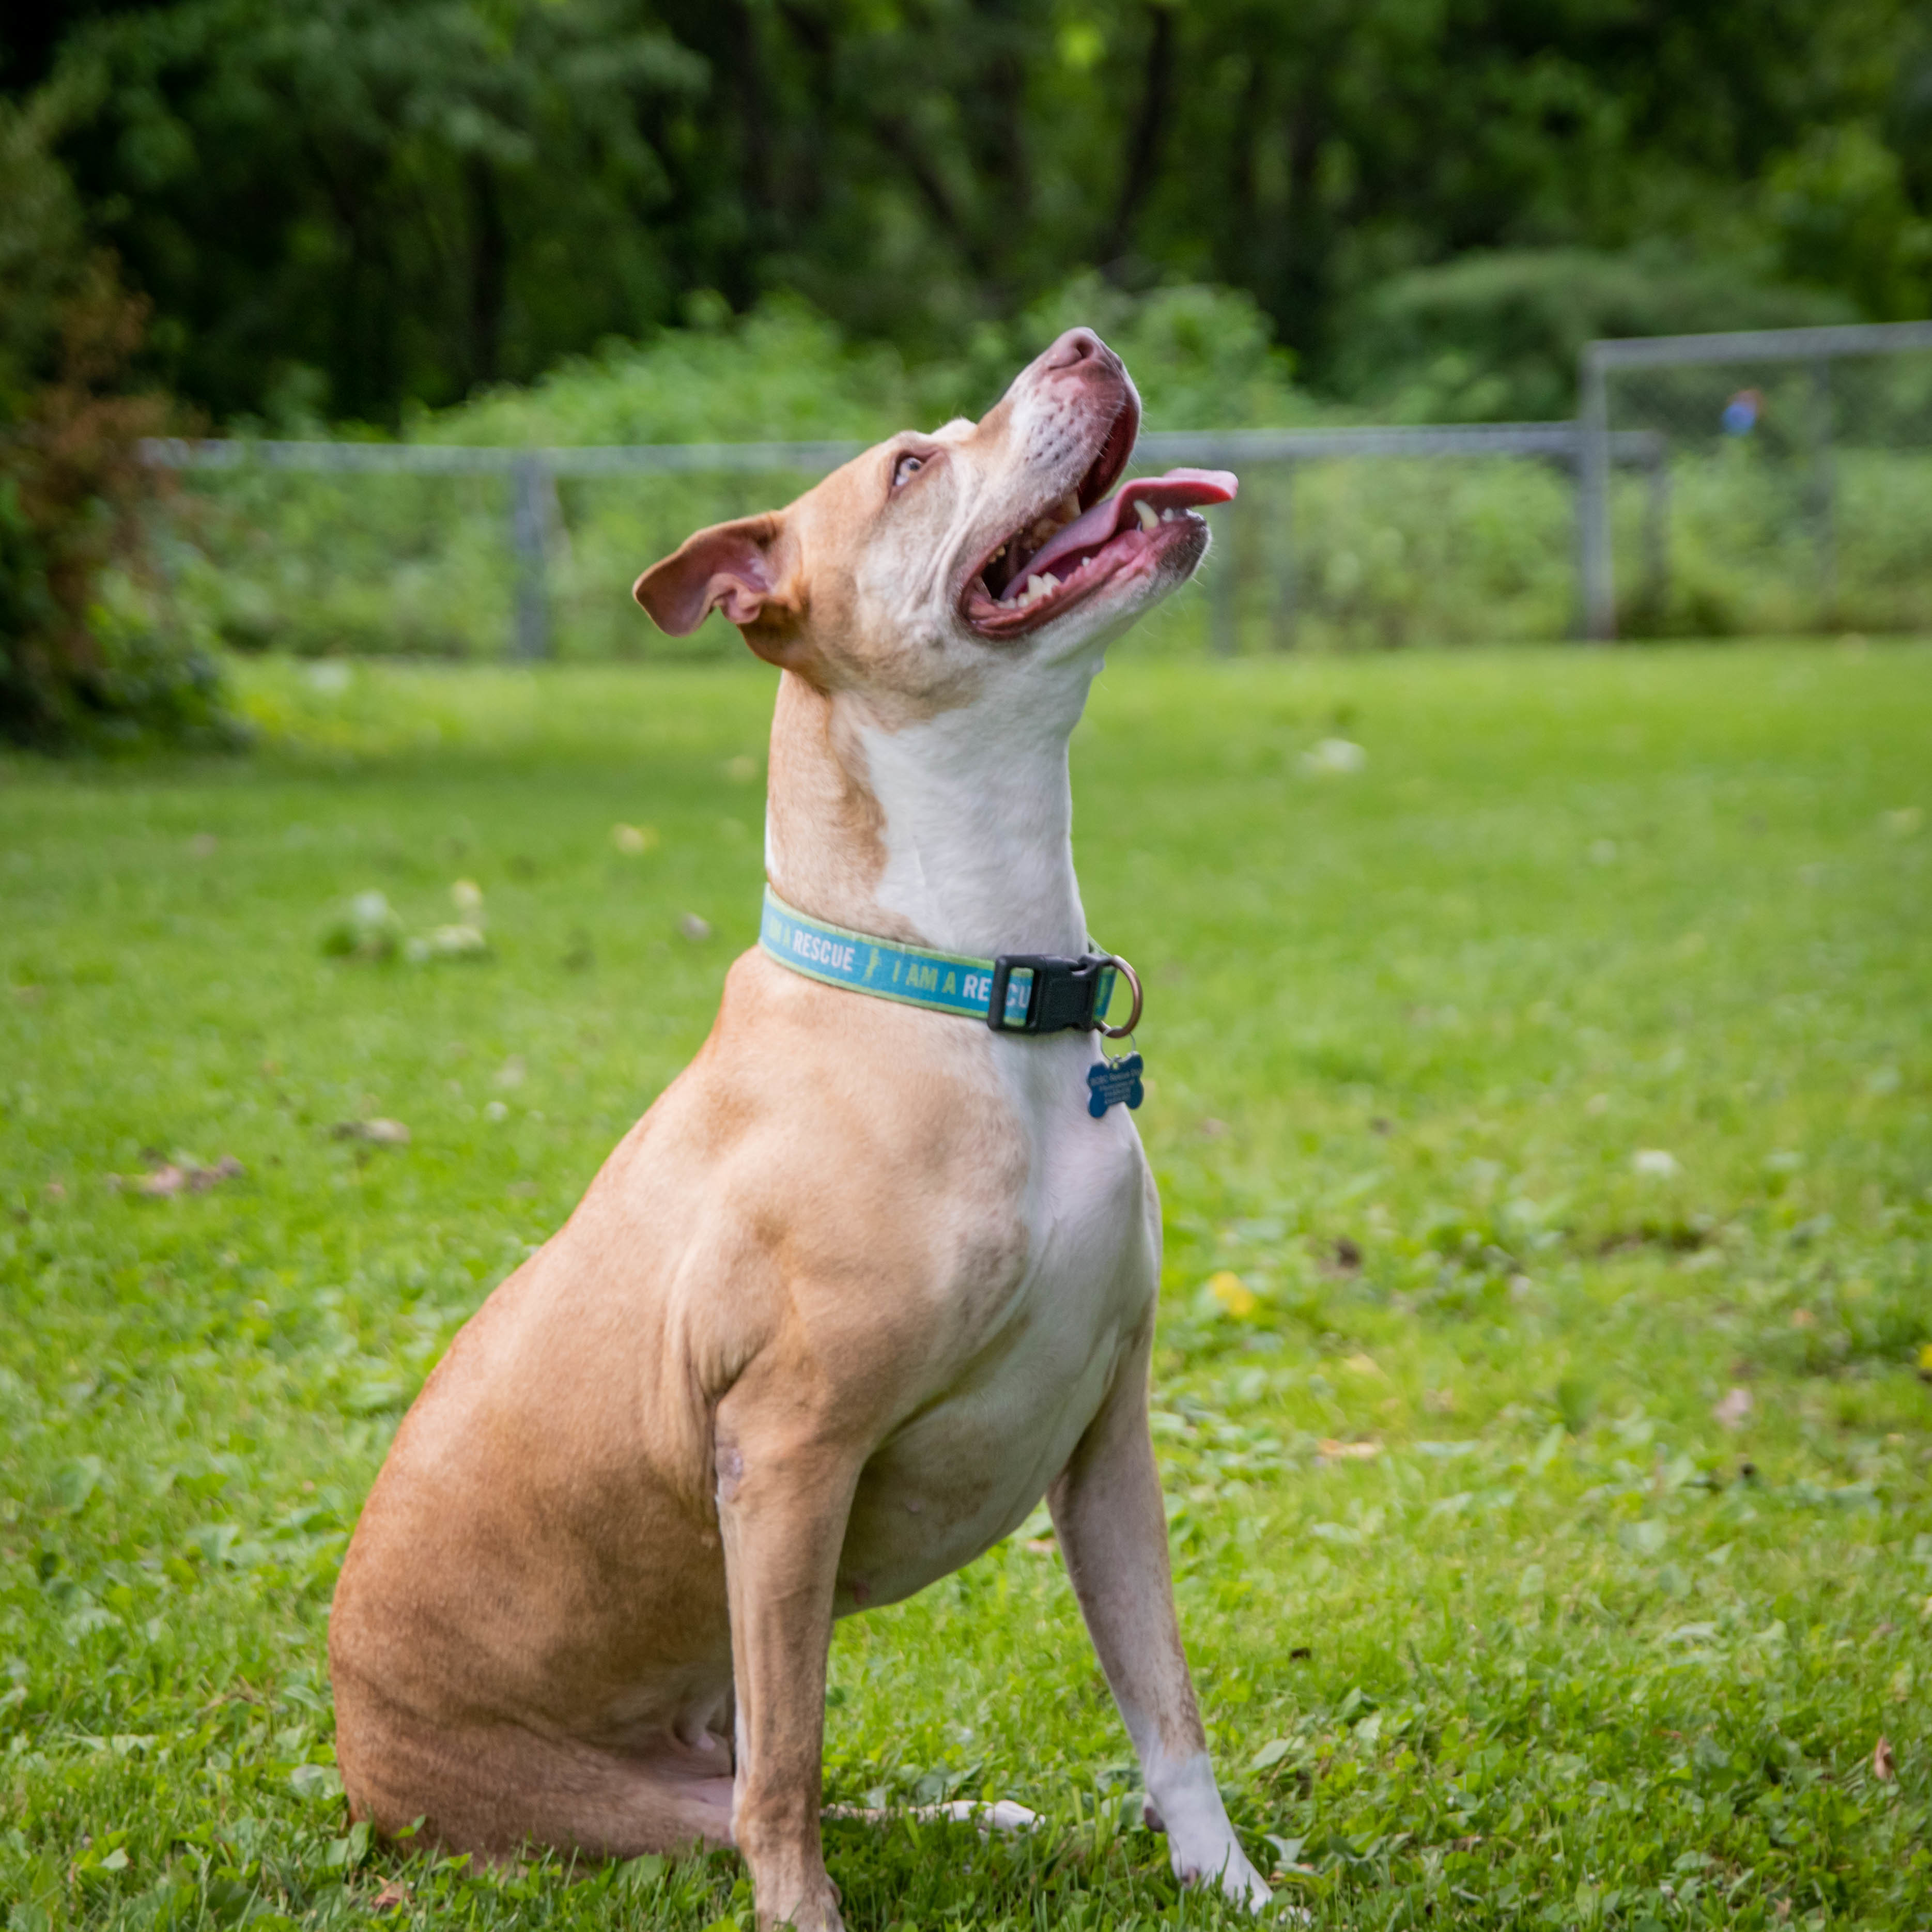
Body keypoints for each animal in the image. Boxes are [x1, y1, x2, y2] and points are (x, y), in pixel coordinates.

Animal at [328, 332, 1267, 1932]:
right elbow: (792, 1770)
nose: (1082, 344)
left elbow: (1166, 1699)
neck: (970, 988)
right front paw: (807, 1918)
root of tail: (348, 1744)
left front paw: (1235, 1883)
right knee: (755, 1791)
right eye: (911, 465)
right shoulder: (785, 1463)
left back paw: (982, 1812)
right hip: (607, 1802)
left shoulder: (1108, 1437)